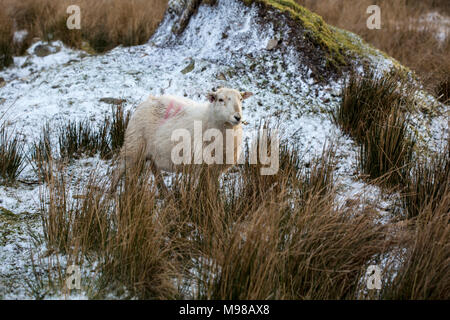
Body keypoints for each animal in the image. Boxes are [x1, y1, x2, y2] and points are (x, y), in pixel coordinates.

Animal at [110, 87, 253, 192]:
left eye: (241, 99)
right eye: (221, 99)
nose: (237, 117)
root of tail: (147, 101)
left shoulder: (214, 170)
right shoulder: (201, 167)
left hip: (151, 152)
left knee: (155, 171)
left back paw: (165, 194)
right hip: (133, 146)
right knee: (119, 170)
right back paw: (111, 192)